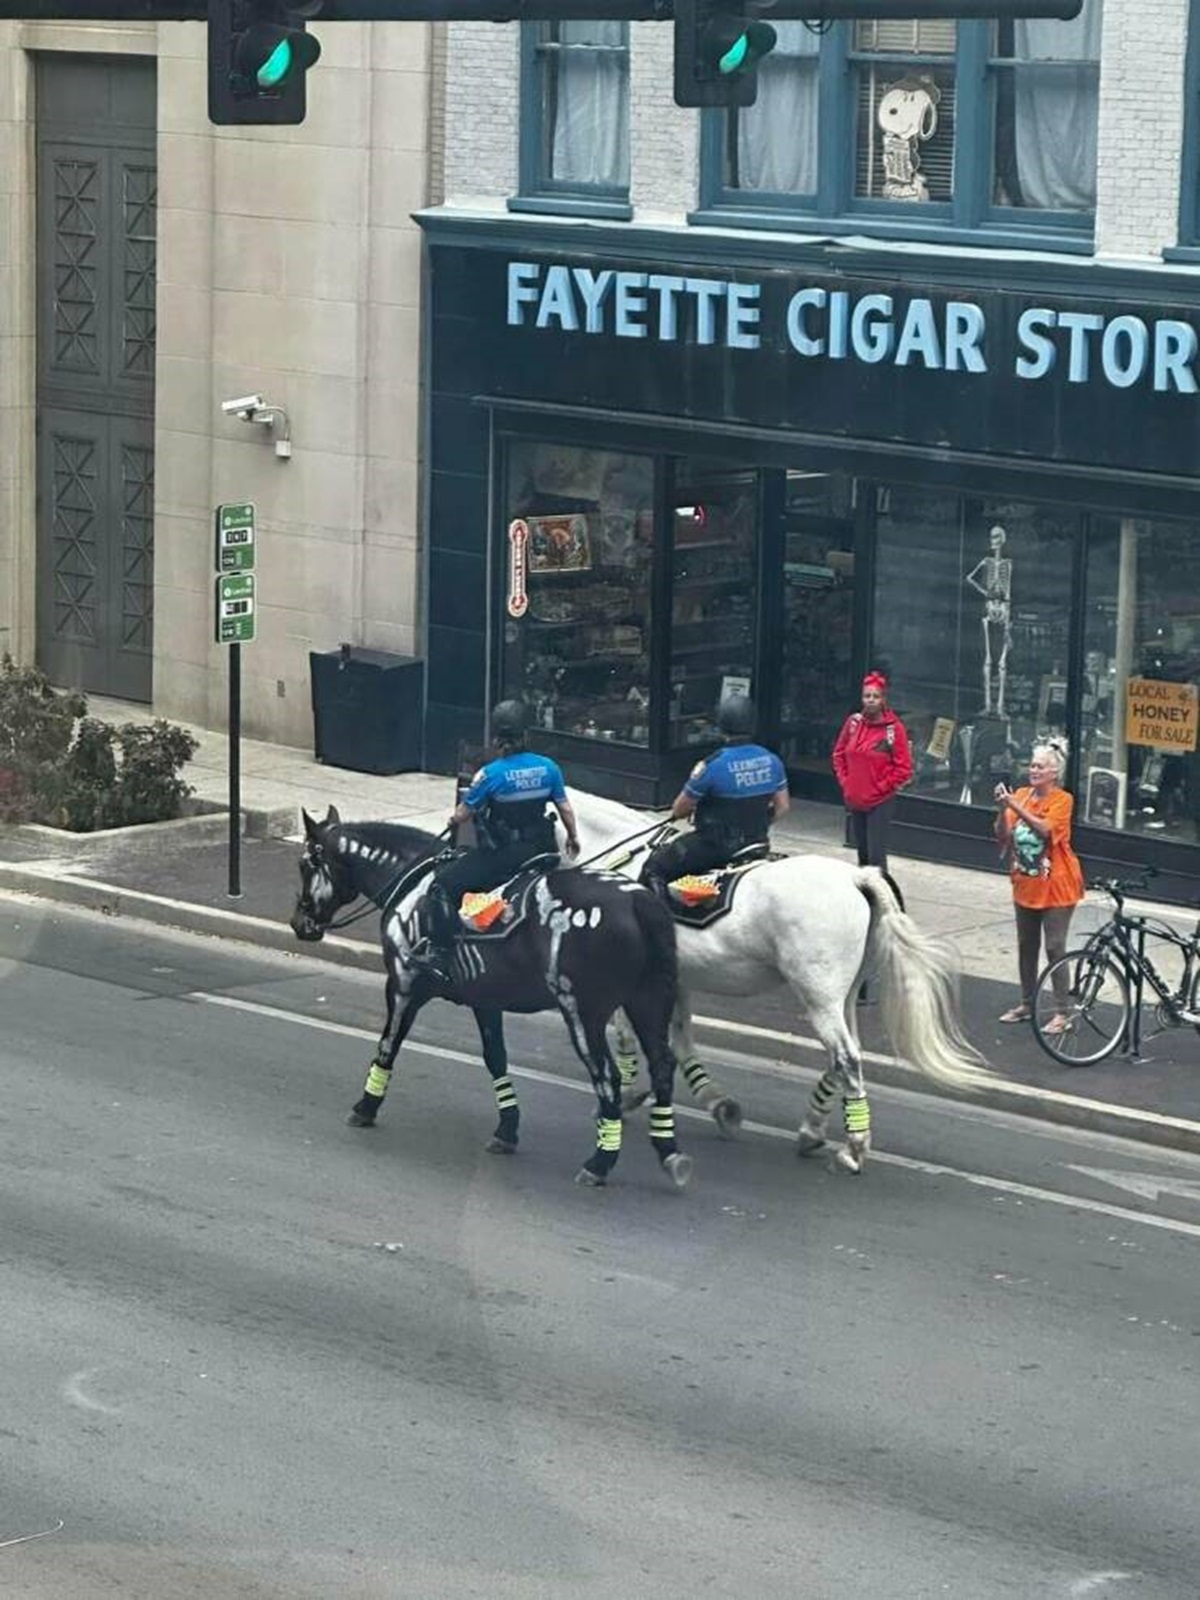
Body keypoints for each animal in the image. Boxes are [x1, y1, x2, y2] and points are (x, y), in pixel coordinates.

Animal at [291, 812, 694, 1190]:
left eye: (305, 864)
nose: (299, 923)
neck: (414, 881)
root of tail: (639, 900)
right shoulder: (485, 1000)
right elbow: (496, 1059)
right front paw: (507, 1129)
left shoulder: (403, 985)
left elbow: (387, 1047)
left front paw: (366, 1106)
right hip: (647, 1002)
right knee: (662, 1065)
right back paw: (668, 1150)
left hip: (583, 1012)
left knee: (608, 1077)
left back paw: (601, 1161)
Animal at [569, 790, 992, 1177]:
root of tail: (856, 876)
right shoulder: (677, 981)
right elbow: (681, 1039)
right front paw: (717, 1104)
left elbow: (630, 1036)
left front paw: (626, 1096)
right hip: (842, 995)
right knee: (845, 1054)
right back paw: (813, 1130)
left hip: (819, 994)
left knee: (846, 1056)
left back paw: (853, 1148)